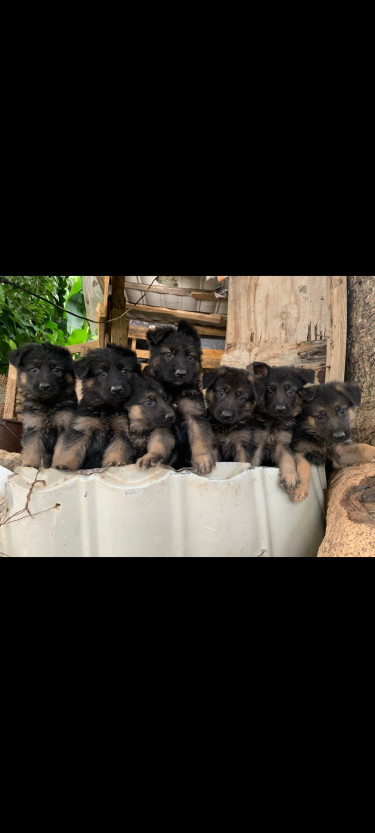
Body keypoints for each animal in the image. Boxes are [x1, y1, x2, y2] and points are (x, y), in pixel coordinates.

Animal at [8, 340, 77, 468]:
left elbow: (62, 450)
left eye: (56, 370)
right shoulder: (33, 427)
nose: (45, 386)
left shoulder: (65, 427)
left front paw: (59, 464)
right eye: (34, 369)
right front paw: (29, 465)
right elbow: (32, 449)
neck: (47, 404)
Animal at [52, 344, 142, 472]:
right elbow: (70, 449)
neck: (106, 409)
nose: (117, 390)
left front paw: (115, 462)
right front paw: (65, 465)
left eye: (124, 371)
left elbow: (118, 448)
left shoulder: (122, 430)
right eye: (102, 373)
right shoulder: (81, 427)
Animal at [147, 320, 217, 474]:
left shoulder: (195, 416)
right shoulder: (162, 419)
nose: (181, 373)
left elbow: (200, 438)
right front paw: (153, 455)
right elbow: (159, 440)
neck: (175, 391)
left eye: (190, 357)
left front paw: (203, 458)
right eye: (169, 354)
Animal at [250, 360, 318, 490]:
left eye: (290, 391)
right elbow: (253, 461)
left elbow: (288, 459)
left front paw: (290, 476)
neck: (275, 423)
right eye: (270, 390)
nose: (280, 409)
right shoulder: (258, 444)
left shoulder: (284, 445)